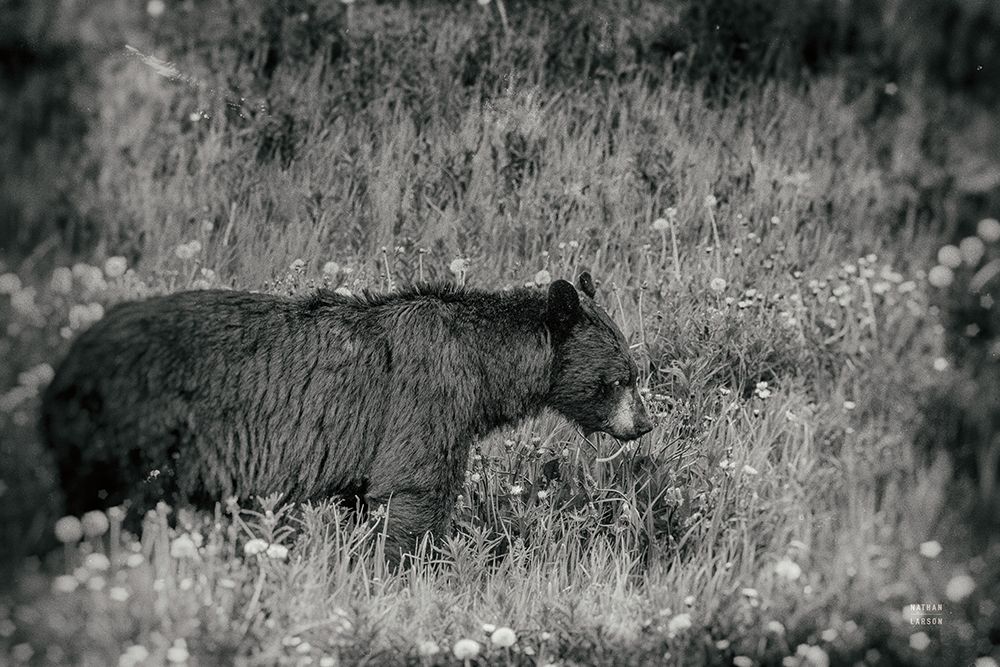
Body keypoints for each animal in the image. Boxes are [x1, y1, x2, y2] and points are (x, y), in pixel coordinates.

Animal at [41, 272, 653, 564]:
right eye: (621, 377)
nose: (644, 425)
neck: (484, 367)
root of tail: (67, 363)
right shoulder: (427, 400)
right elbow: (415, 492)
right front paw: (412, 572)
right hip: (134, 436)